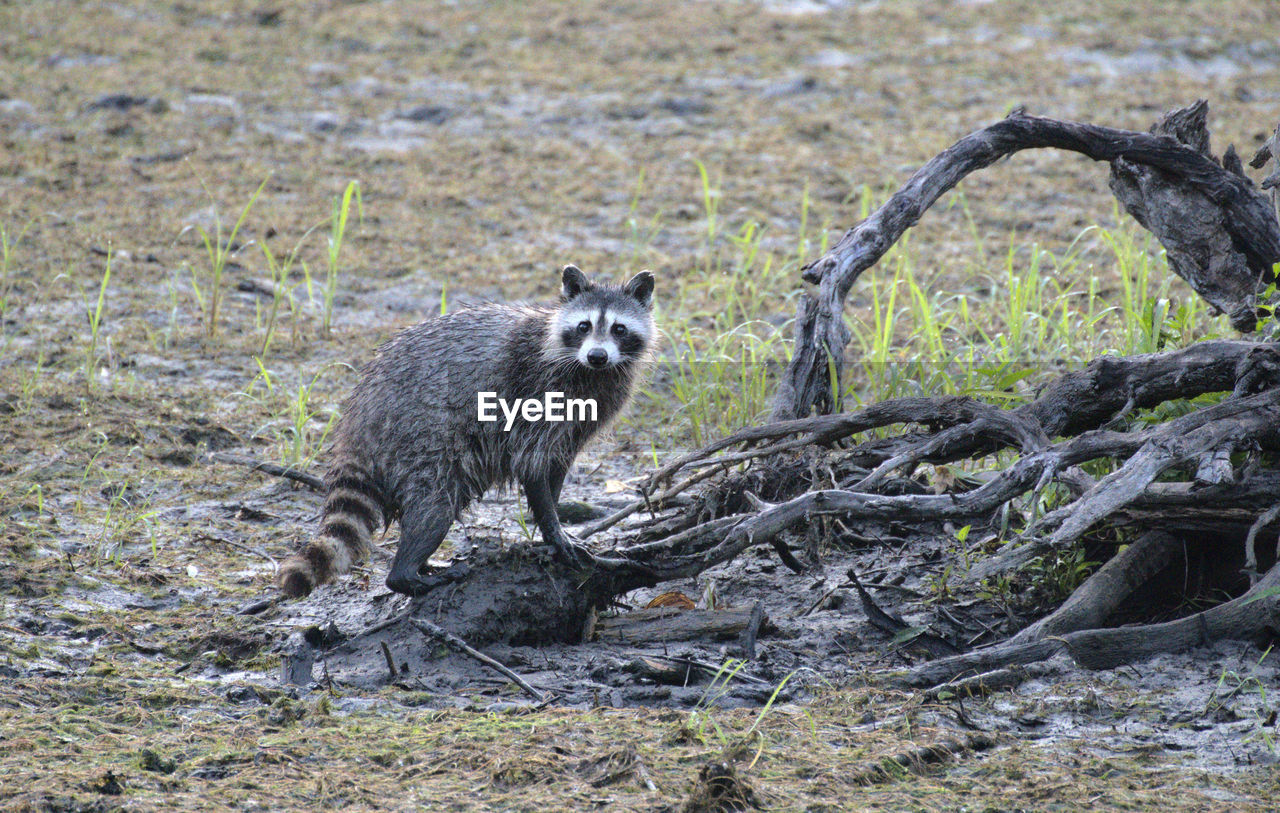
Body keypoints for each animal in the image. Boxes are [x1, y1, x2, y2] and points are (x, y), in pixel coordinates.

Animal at [281, 265, 660, 599]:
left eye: (619, 329)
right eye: (584, 326)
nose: (597, 355)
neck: (589, 369)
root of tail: (359, 418)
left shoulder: (584, 415)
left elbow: (555, 467)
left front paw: (550, 525)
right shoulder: (536, 394)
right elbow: (531, 466)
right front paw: (553, 528)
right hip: (419, 440)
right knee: (435, 507)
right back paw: (406, 575)